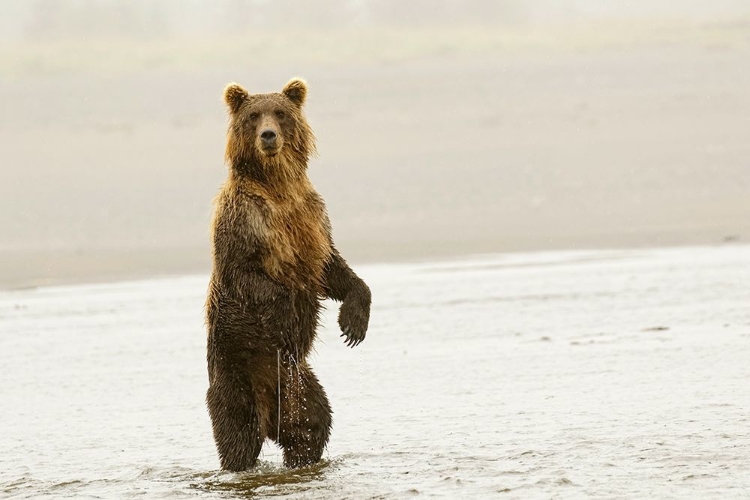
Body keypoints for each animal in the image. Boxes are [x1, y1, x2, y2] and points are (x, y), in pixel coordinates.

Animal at [206, 76, 374, 470]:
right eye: (254, 115)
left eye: (280, 113)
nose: (268, 135)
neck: (276, 184)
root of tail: (271, 414)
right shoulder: (244, 220)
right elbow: (246, 274)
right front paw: (286, 317)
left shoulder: (311, 216)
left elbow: (333, 269)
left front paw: (353, 323)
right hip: (236, 371)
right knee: (238, 433)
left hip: (299, 385)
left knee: (313, 426)